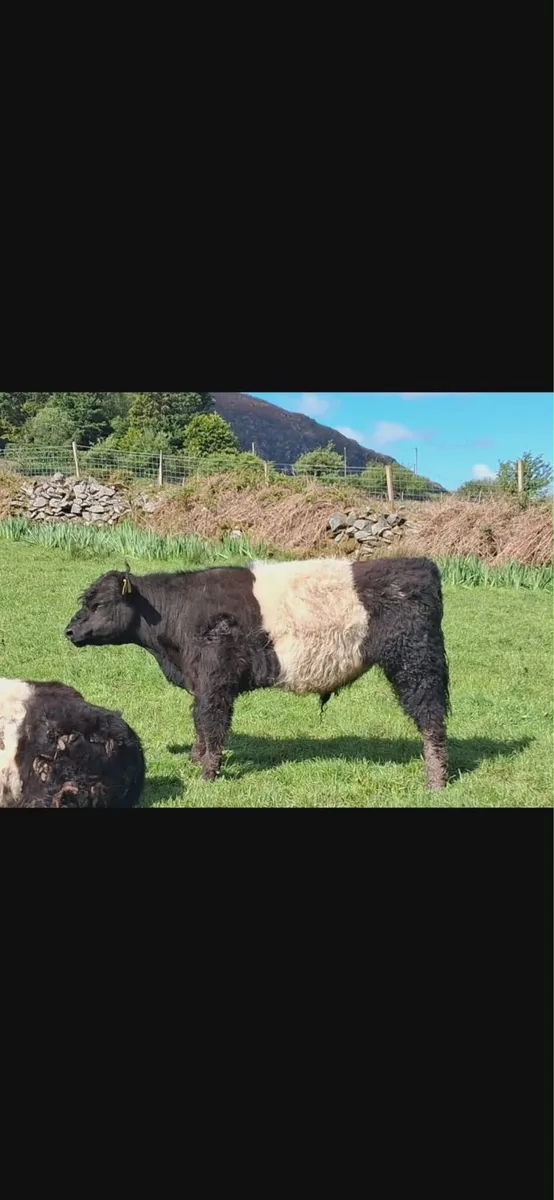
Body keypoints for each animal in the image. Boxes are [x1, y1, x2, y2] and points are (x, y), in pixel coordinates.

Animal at [65, 555, 450, 790]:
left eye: (99, 604)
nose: (68, 631)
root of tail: (420, 564)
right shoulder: (200, 682)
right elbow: (199, 721)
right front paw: (194, 760)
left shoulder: (216, 681)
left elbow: (212, 724)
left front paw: (207, 774)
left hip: (416, 665)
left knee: (432, 720)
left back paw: (435, 781)